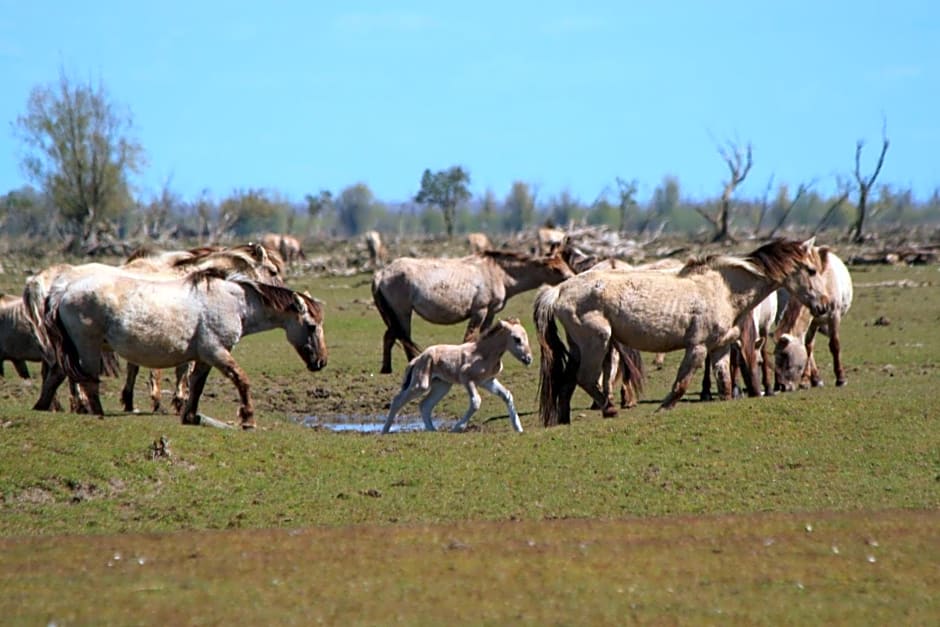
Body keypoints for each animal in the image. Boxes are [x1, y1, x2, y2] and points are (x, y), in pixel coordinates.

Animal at [372, 249, 572, 372]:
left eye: (564, 264)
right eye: (555, 269)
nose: (572, 278)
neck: (497, 272)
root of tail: (381, 273)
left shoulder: (490, 313)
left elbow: (483, 335)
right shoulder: (480, 311)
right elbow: (470, 337)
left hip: (394, 316)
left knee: (390, 337)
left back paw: (386, 369)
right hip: (402, 313)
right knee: (402, 338)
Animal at [380, 318, 528, 432]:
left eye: (526, 337)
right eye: (516, 339)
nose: (528, 359)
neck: (484, 353)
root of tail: (417, 359)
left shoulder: (487, 381)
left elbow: (507, 395)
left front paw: (519, 429)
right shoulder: (467, 379)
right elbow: (476, 402)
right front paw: (457, 428)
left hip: (442, 386)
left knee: (425, 405)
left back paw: (432, 430)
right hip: (421, 384)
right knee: (398, 400)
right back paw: (385, 431)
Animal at [536, 238, 828, 424]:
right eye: (811, 270)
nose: (824, 305)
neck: (723, 289)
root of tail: (559, 290)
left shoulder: (720, 348)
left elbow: (724, 382)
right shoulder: (697, 348)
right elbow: (681, 383)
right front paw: (663, 409)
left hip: (579, 347)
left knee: (567, 381)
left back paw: (563, 420)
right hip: (598, 342)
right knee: (585, 378)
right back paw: (609, 410)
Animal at [776, 248, 856, 390]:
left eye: (785, 355)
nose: (781, 386)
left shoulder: (833, 316)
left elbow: (834, 344)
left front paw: (841, 378)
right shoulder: (811, 321)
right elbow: (808, 347)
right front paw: (807, 380)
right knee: (809, 345)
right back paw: (813, 379)